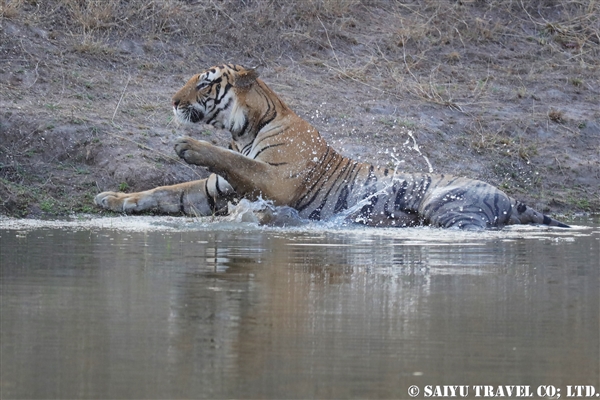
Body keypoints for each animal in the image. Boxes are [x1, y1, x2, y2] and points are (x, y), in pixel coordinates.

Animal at [94, 64, 568, 230]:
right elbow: (160, 192)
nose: (173, 102)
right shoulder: (212, 192)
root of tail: (507, 194)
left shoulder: (277, 182)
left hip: (447, 203)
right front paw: (112, 198)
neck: (243, 130)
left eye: (204, 83)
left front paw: (187, 144)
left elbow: (228, 160)